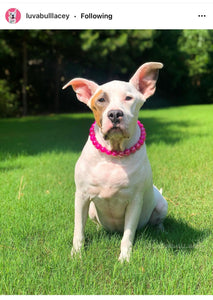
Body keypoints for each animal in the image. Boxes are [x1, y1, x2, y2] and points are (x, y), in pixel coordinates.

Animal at [62, 62, 168, 262]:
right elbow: (78, 229)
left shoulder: (134, 202)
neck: (113, 155)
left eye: (128, 98)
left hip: (162, 205)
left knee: (157, 220)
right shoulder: (81, 196)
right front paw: (76, 254)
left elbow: (128, 235)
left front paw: (125, 258)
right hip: (92, 210)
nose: (115, 114)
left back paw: (160, 230)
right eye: (101, 100)